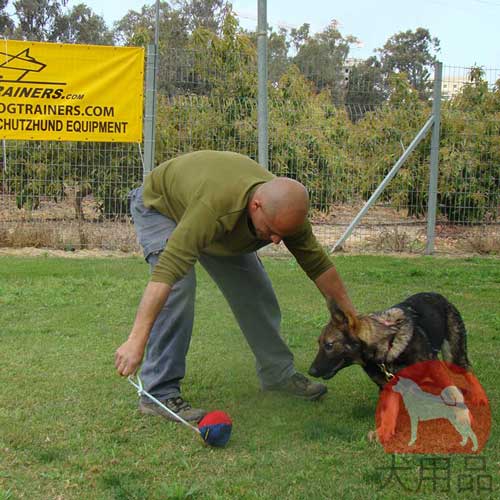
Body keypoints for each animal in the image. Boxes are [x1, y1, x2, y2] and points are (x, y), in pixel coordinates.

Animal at [306, 292, 486, 442]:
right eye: (320, 344)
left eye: (329, 345)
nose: (311, 371)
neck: (386, 349)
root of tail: (438, 295)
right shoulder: (389, 384)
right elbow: (389, 410)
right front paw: (384, 431)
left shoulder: (436, 368)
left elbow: (453, 393)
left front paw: (463, 415)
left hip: (454, 356)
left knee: (468, 370)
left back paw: (479, 395)